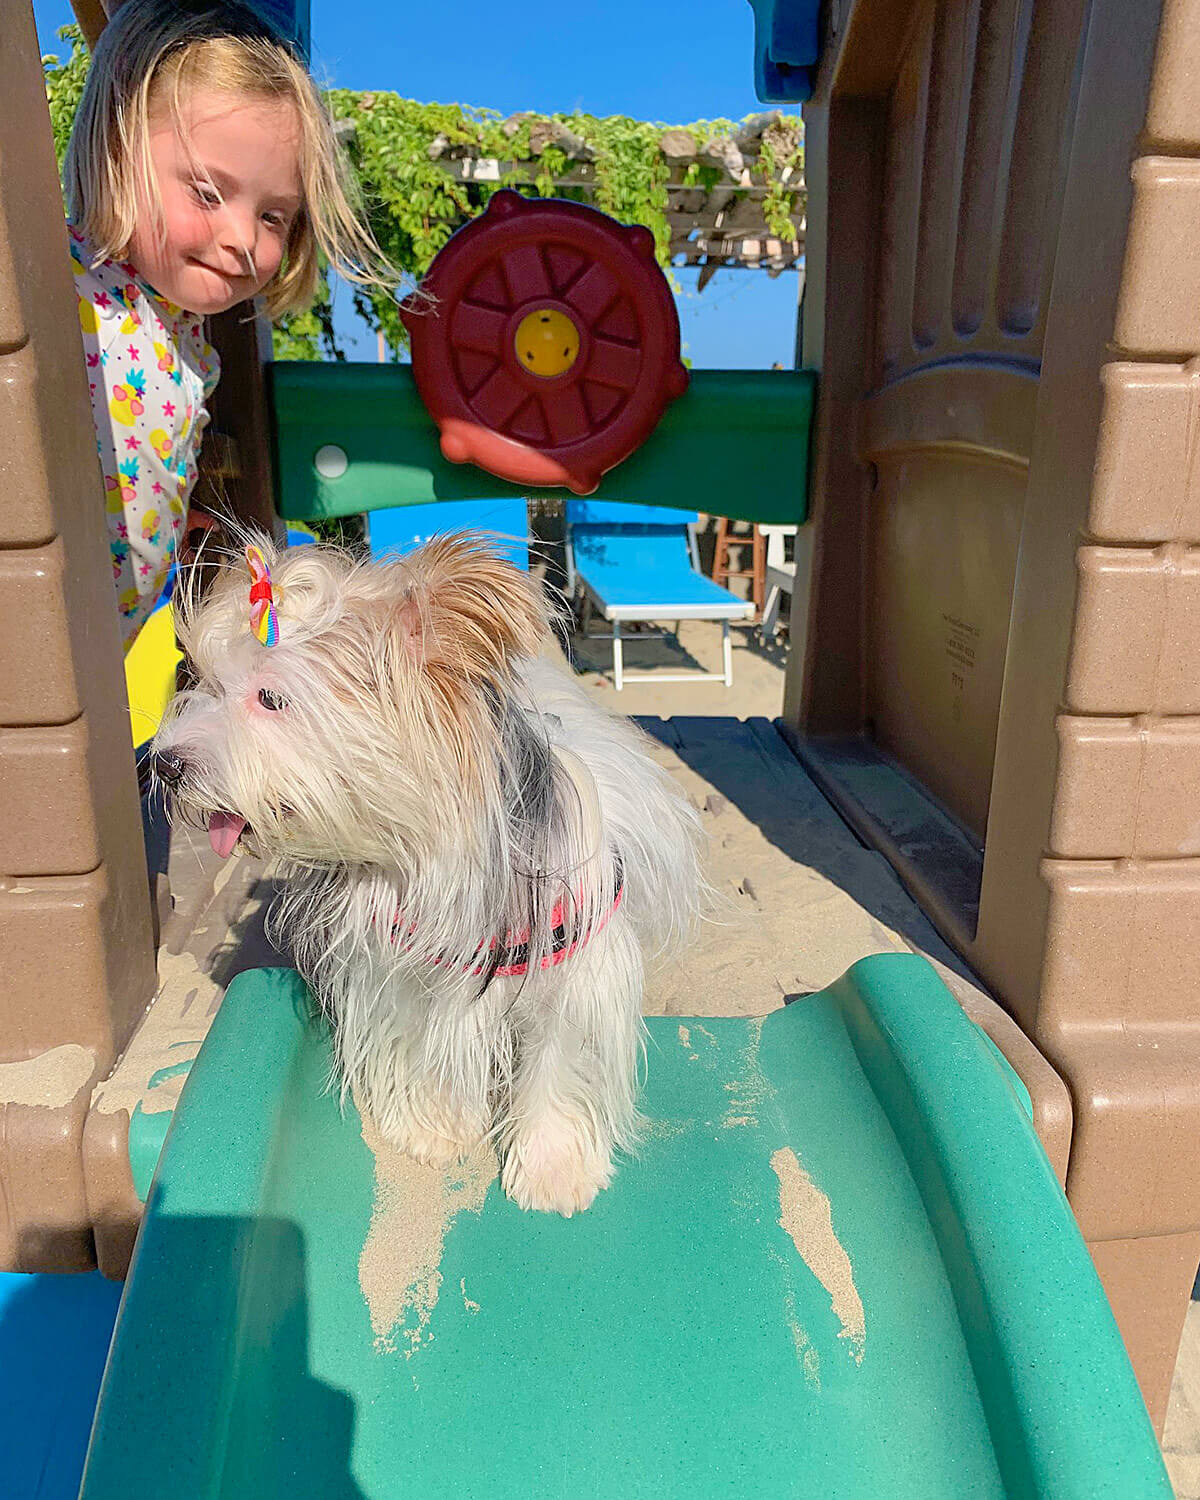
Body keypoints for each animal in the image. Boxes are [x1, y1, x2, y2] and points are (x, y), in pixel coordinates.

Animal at [154, 534, 708, 1212]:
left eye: (272, 699)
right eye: (206, 682)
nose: (164, 765)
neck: (433, 848)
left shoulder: (572, 973)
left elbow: (557, 1062)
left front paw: (551, 1163)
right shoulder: (404, 970)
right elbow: (427, 1047)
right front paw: (436, 1126)